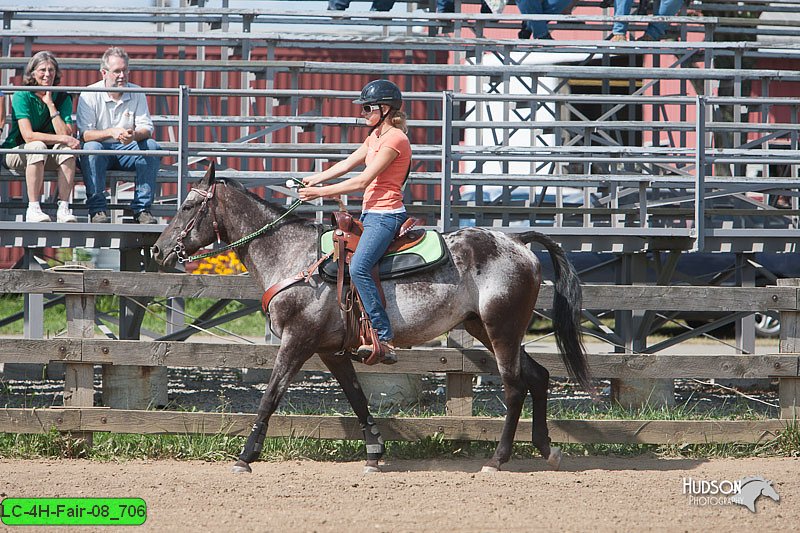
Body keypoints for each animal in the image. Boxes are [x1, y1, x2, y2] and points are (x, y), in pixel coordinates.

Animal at [152, 163, 592, 474]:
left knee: (515, 386)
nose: (157, 250)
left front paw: (245, 456)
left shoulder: (297, 341)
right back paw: (547, 449)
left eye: (188, 206)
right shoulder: (330, 351)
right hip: (484, 327)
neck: (293, 256)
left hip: (501, 329)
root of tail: (517, 240)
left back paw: (498, 459)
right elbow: (356, 397)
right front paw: (375, 452)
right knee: (538, 376)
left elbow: (270, 396)